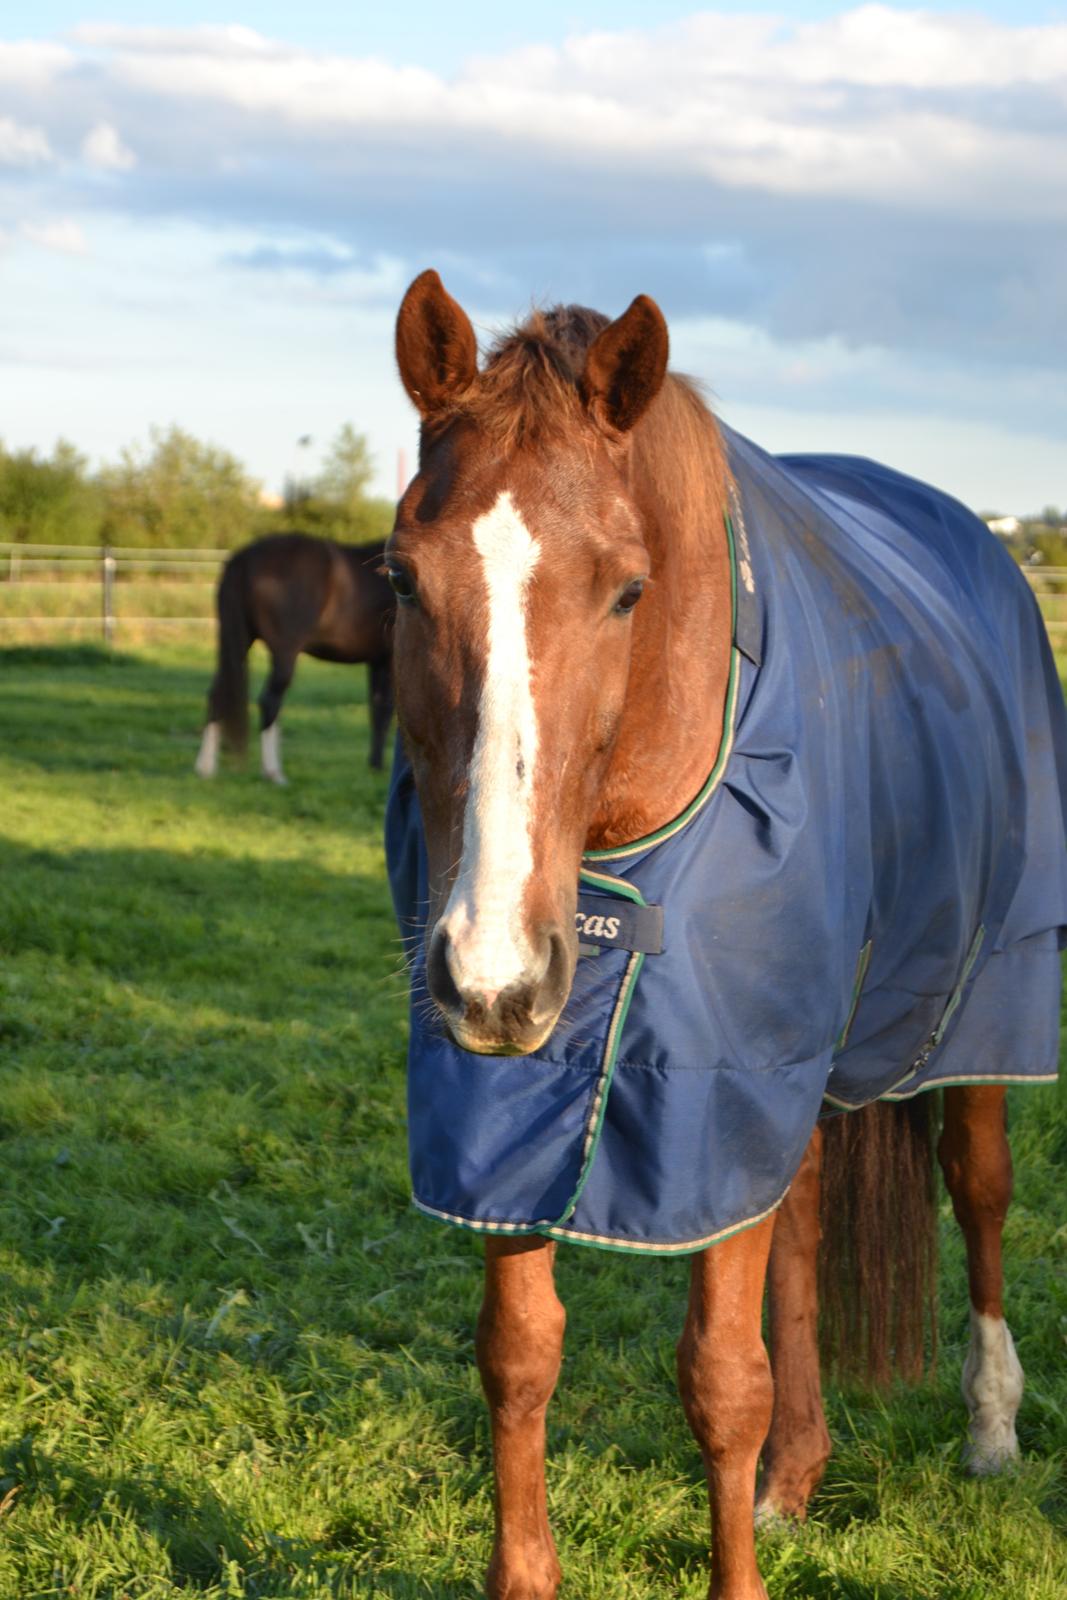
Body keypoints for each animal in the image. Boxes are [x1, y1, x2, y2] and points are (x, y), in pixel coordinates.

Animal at [194, 534, 395, 784]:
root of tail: (245, 557)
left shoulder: (377, 661)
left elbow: (376, 712)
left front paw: (374, 766)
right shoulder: (390, 661)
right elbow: (386, 712)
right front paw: (378, 767)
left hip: (239, 643)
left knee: (217, 695)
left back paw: (206, 768)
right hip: (284, 653)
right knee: (269, 701)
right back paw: (274, 773)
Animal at [382, 275, 1062, 1600]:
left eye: (626, 590)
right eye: (399, 579)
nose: (491, 977)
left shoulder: (719, 1081)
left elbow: (718, 1380)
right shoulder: (514, 1107)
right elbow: (518, 1354)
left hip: (980, 1004)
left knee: (979, 1188)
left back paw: (990, 1426)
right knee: (798, 1224)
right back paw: (797, 1474)